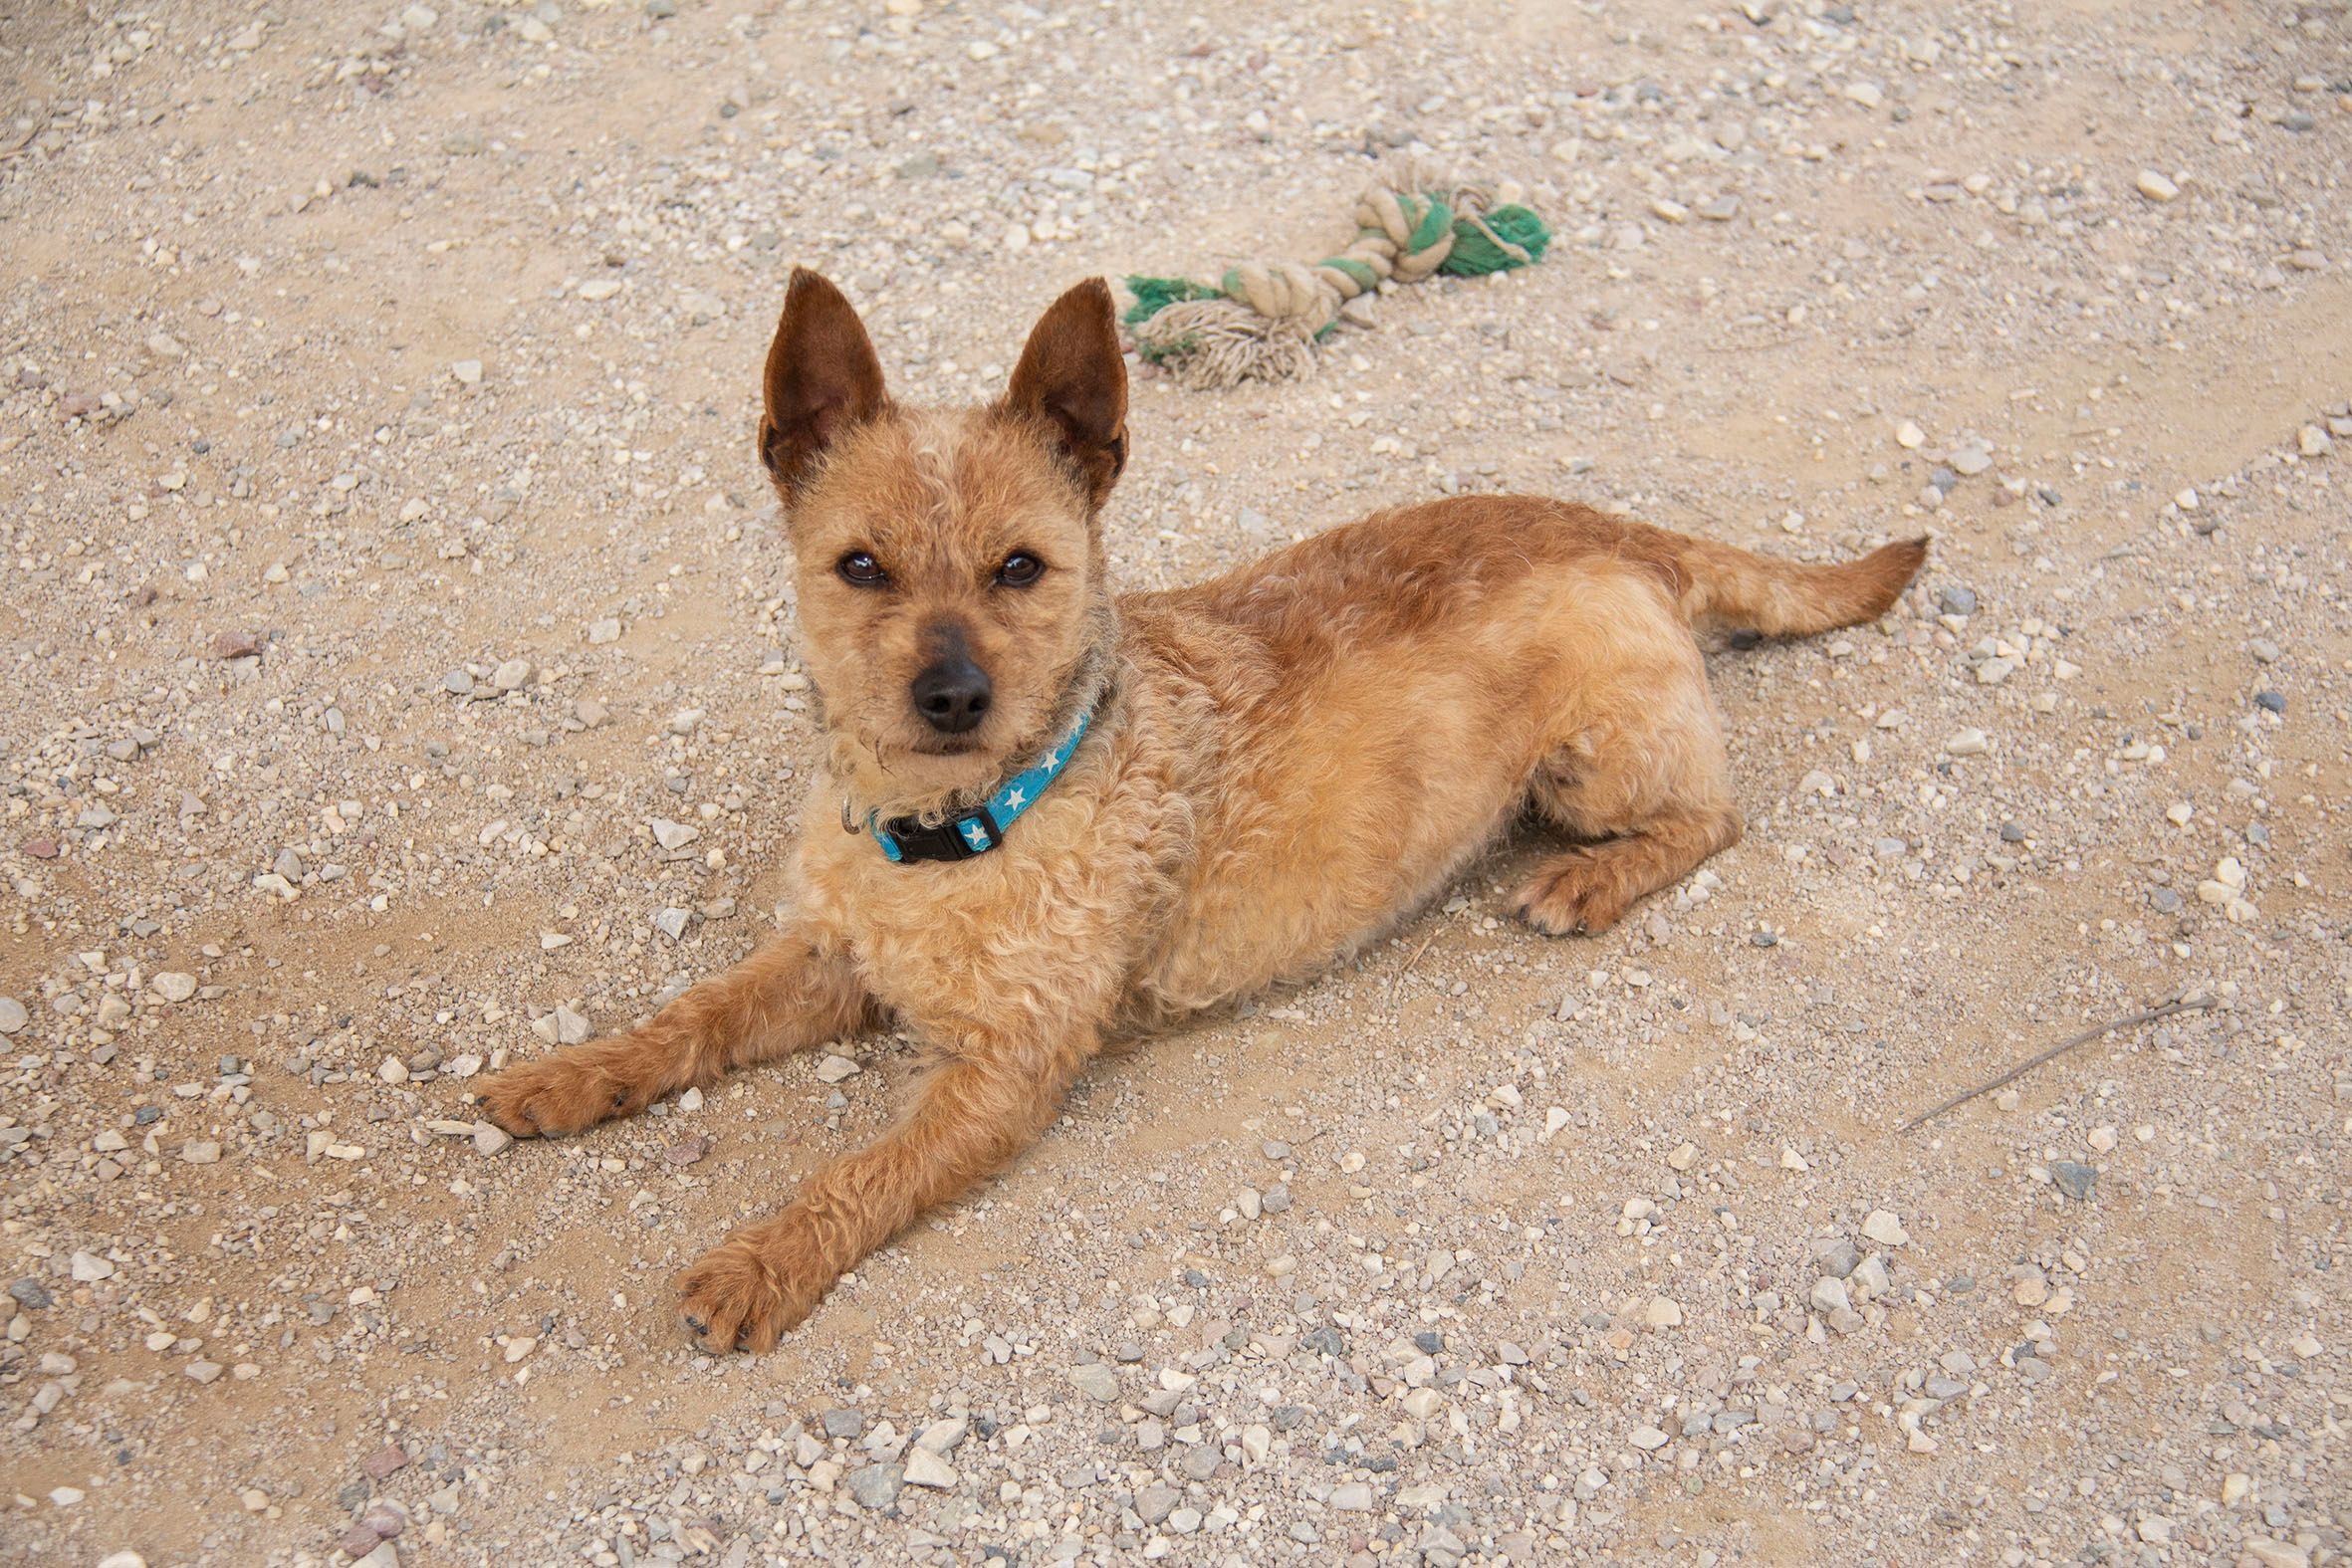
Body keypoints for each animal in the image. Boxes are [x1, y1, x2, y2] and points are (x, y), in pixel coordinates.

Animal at [476, 269, 1926, 1352]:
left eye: (1022, 568)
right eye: (860, 567)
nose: (950, 694)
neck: (950, 828)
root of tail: (1612, 524)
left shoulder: (1002, 1074)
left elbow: (858, 1175)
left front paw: (760, 1258)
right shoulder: (827, 955)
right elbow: (690, 1016)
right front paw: (566, 1073)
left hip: (1593, 762)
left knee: (1711, 817)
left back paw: (1588, 879)